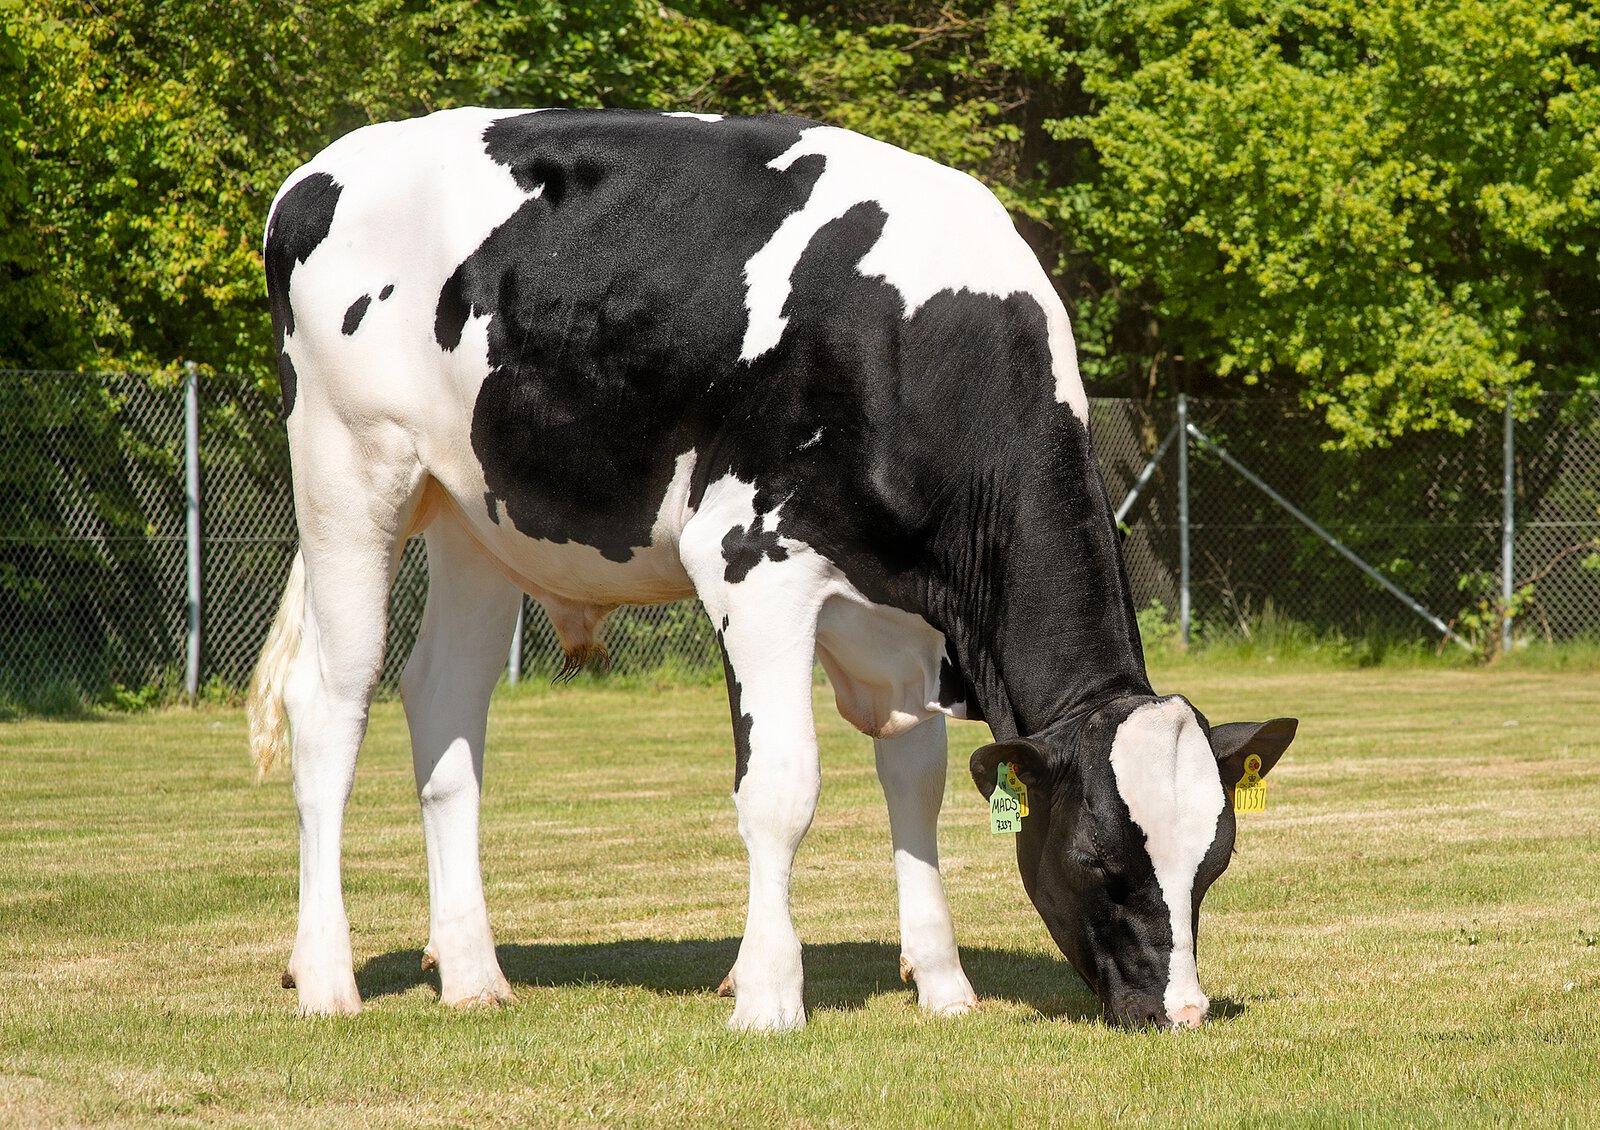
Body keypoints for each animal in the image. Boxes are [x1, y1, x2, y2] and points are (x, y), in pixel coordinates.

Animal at [248, 106, 1297, 1032]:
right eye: (1096, 863)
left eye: (1212, 866)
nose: (1181, 1014)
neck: (921, 342)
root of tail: (322, 168)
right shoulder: (751, 559)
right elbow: (782, 790)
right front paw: (766, 996)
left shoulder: (907, 622)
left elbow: (915, 779)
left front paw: (944, 986)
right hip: (349, 468)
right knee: (331, 701)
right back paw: (328, 978)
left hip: (477, 516)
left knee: (445, 708)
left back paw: (472, 976)